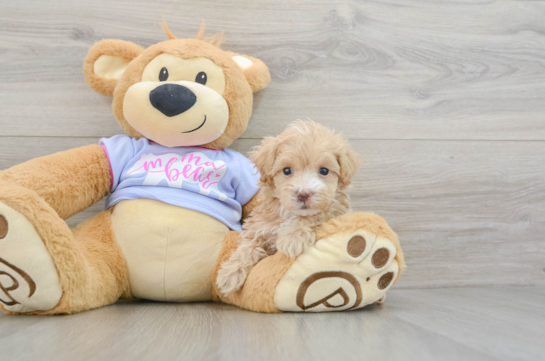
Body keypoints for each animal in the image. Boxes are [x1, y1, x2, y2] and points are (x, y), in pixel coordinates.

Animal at [217, 119, 362, 294]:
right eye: (287, 170)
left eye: (324, 170)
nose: (303, 194)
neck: (288, 213)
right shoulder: (258, 226)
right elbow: (247, 246)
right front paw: (230, 274)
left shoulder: (336, 209)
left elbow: (316, 214)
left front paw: (292, 238)